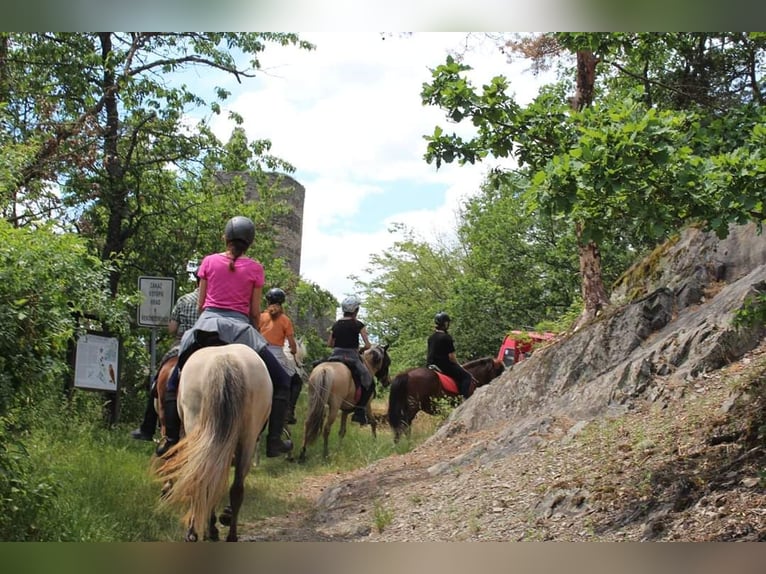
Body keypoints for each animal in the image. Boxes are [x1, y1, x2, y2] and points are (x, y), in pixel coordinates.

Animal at [152, 346, 272, 544]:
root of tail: (224, 361)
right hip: (246, 439)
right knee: (234, 487)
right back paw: (229, 534)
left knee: (202, 479)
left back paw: (196, 531)